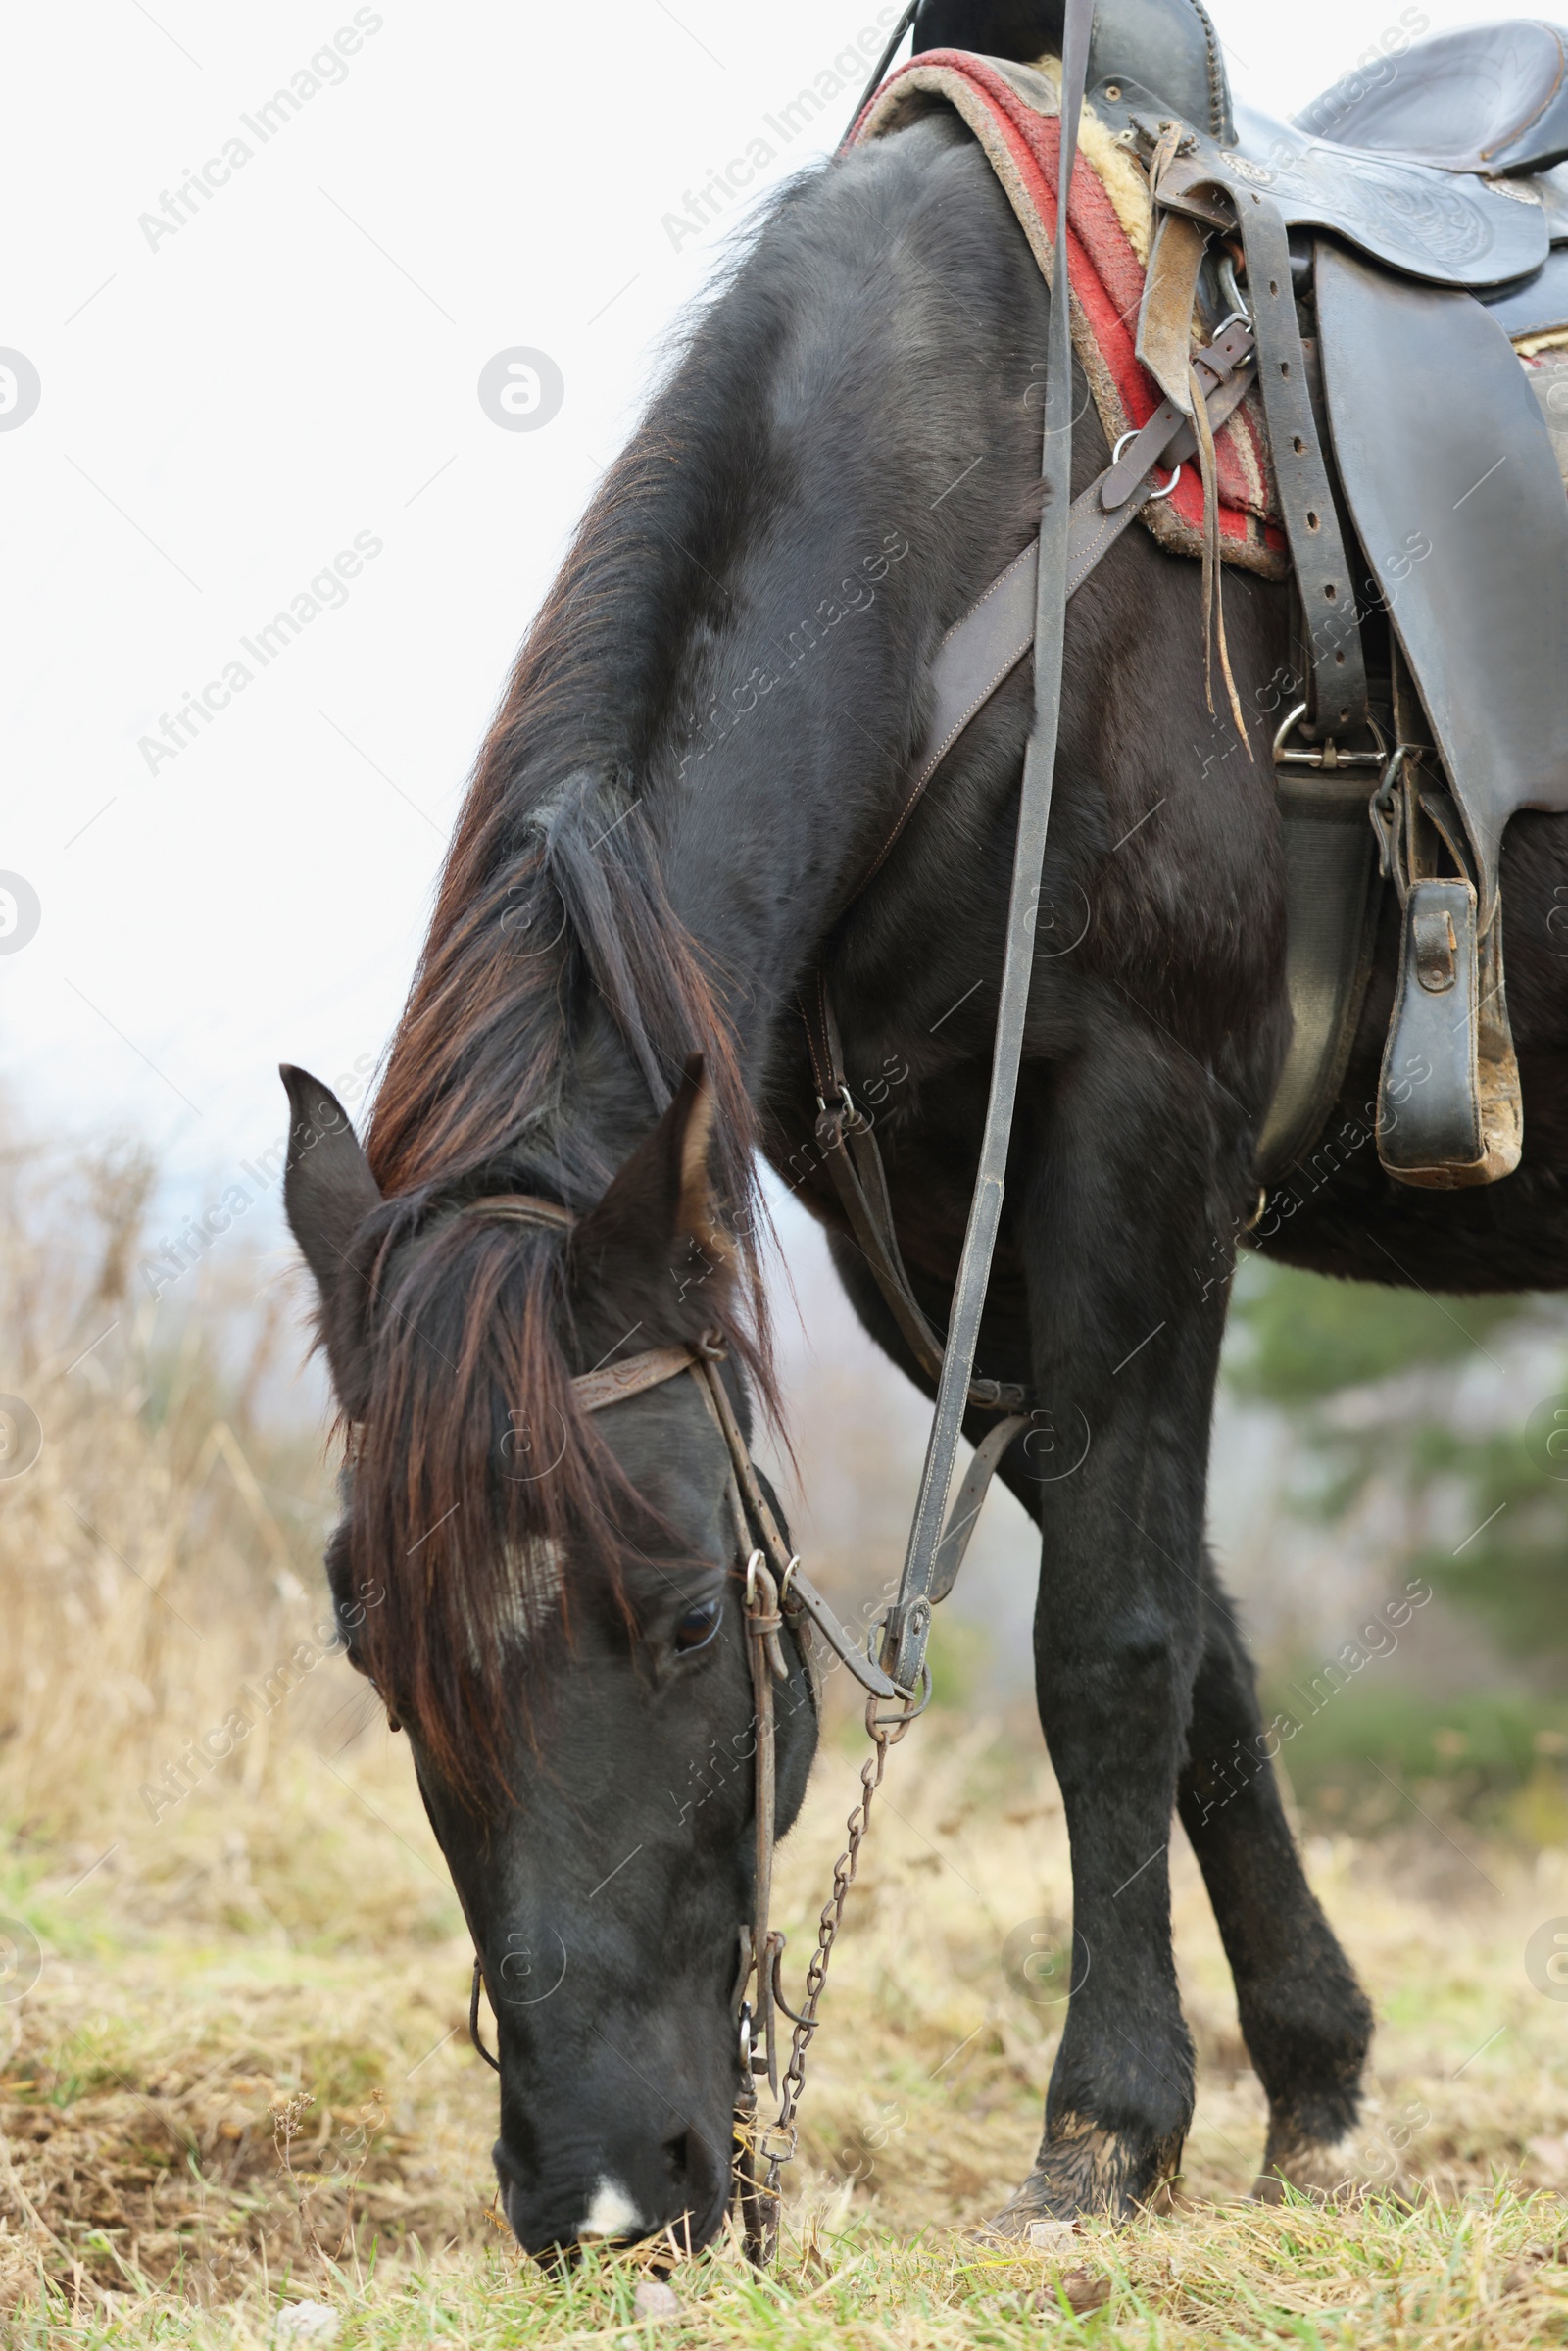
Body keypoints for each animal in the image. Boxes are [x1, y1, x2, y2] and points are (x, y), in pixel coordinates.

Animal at [275, 14, 1568, 2257]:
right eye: (374, 1637)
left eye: (690, 1617)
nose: (599, 2197)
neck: (990, 531)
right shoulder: (908, 1217)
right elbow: (1207, 1641)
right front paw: (1312, 2078)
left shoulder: (1140, 1132)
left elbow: (1111, 1643)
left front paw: (1105, 2124)